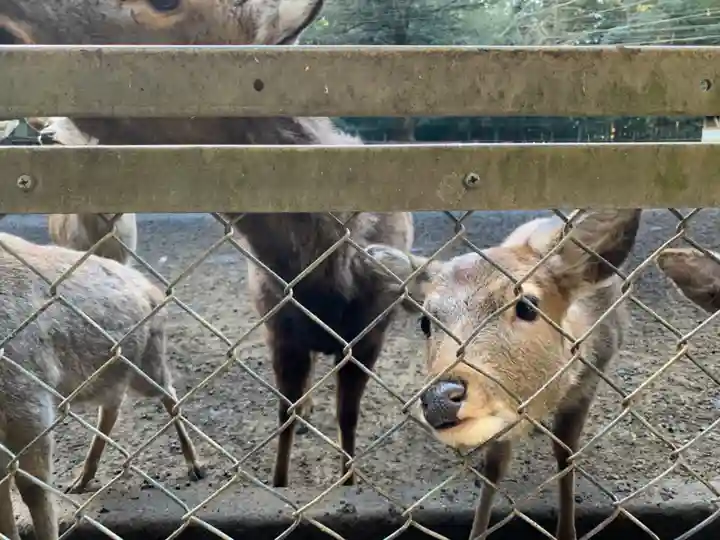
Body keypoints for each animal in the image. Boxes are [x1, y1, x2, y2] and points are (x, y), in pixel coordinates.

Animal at [0, 0, 417, 488]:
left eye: (165, 5)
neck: (325, 270)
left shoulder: (369, 335)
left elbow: (347, 422)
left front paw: (348, 478)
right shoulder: (280, 329)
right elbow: (285, 422)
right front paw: (282, 479)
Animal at [0, 232, 204, 540]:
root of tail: (156, 291)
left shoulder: (28, 395)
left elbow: (33, 488)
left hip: (147, 362)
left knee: (169, 394)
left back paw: (196, 467)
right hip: (107, 375)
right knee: (113, 408)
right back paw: (80, 481)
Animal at [365, 209, 642, 540]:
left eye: (527, 306)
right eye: (425, 321)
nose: (440, 398)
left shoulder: (590, 380)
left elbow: (566, 454)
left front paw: (567, 531)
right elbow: (494, 468)